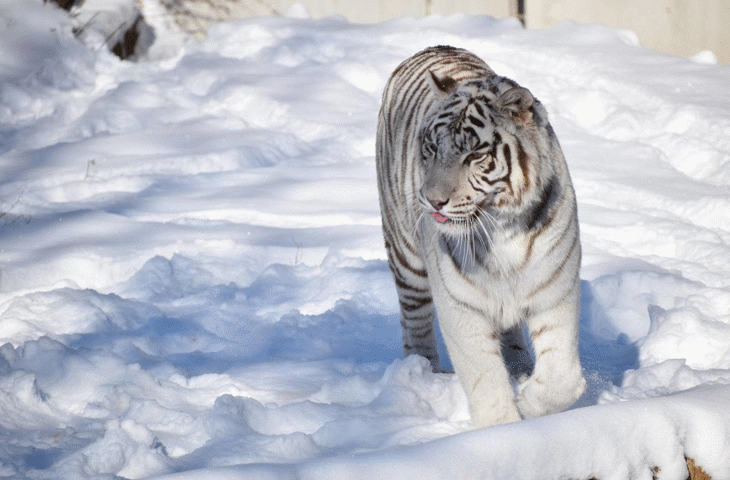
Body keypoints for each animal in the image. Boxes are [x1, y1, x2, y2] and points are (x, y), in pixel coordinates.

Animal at [376, 46, 584, 428]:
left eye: (474, 155)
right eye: (431, 148)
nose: (432, 200)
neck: (503, 229)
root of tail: (434, 46)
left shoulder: (554, 288)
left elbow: (561, 378)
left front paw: (531, 402)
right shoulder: (460, 301)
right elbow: (483, 376)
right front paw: (501, 429)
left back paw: (519, 368)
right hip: (405, 254)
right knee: (414, 317)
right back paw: (423, 372)